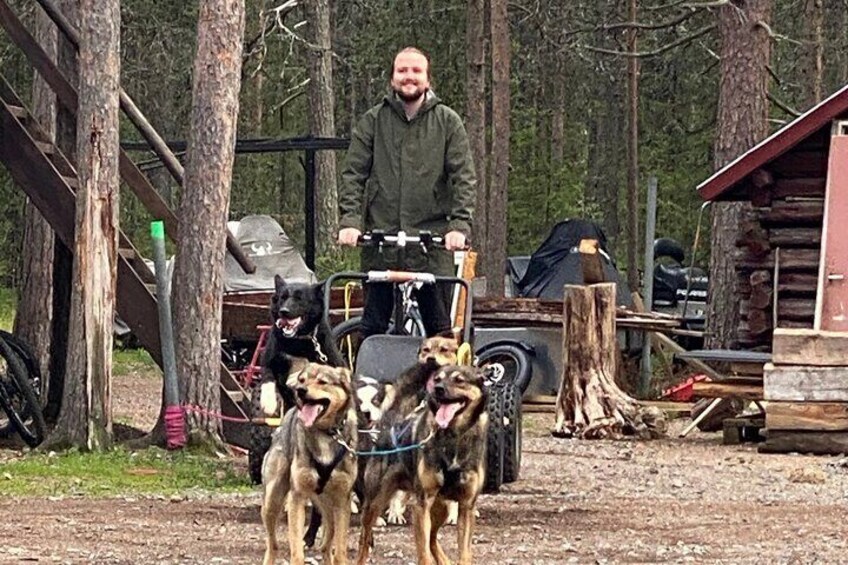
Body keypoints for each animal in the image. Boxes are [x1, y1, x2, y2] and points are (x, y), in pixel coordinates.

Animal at [264, 364, 360, 560]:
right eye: (302, 380)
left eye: (322, 381)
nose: (300, 390)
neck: (326, 433)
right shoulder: (297, 497)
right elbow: (296, 551)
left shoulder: (342, 500)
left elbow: (340, 552)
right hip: (272, 499)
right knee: (272, 544)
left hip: (328, 508)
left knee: (326, 546)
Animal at [354, 364, 486, 560]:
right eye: (437, 379)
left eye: (459, 380)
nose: (438, 389)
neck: (452, 436)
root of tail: (390, 424)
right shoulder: (422, 505)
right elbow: (423, 553)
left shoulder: (466, 506)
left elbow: (464, 553)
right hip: (374, 503)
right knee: (364, 539)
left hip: (440, 507)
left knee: (432, 538)